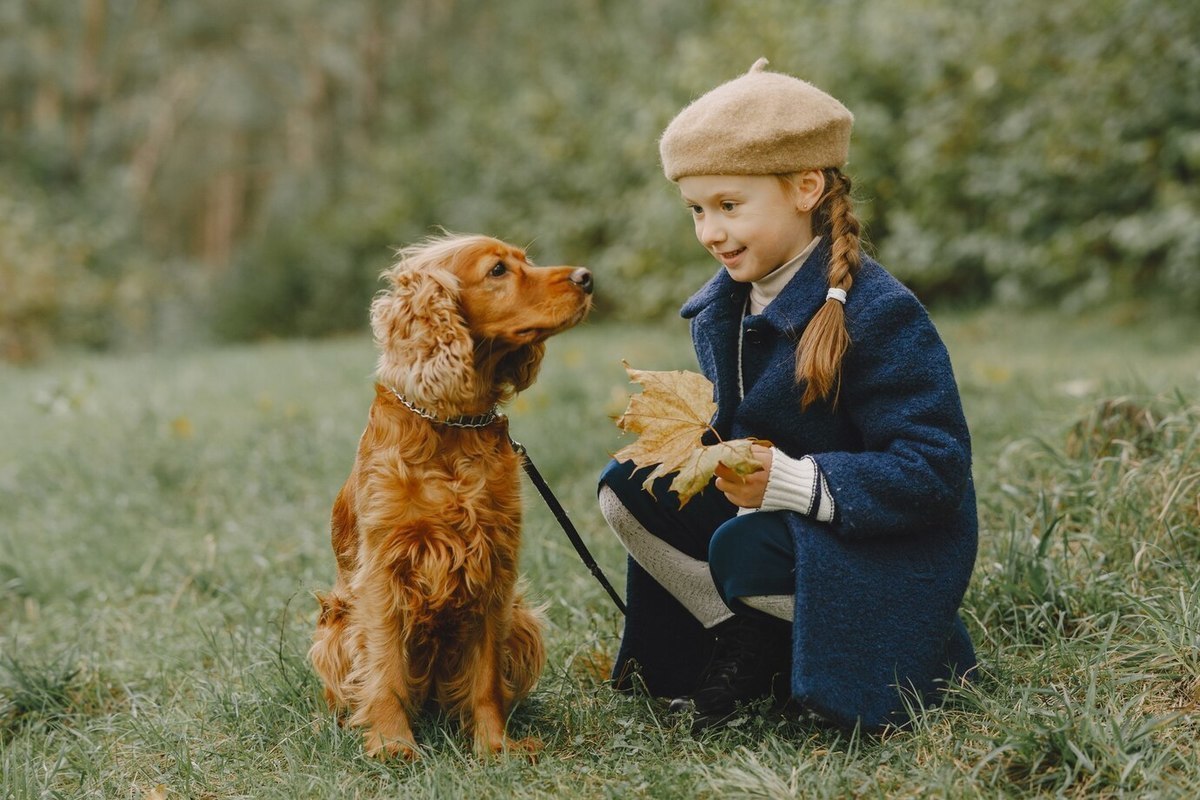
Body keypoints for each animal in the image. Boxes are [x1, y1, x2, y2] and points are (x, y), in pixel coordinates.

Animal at [307, 231, 592, 758]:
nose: (587, 277)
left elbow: (486, 679)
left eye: (525, 260)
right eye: (498, 270)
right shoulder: (385, 573)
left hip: (522, 619)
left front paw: (495, 746)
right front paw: (392, 744)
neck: (453, 426)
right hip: (334, 625)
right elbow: (385, 671)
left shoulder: (493, 565)